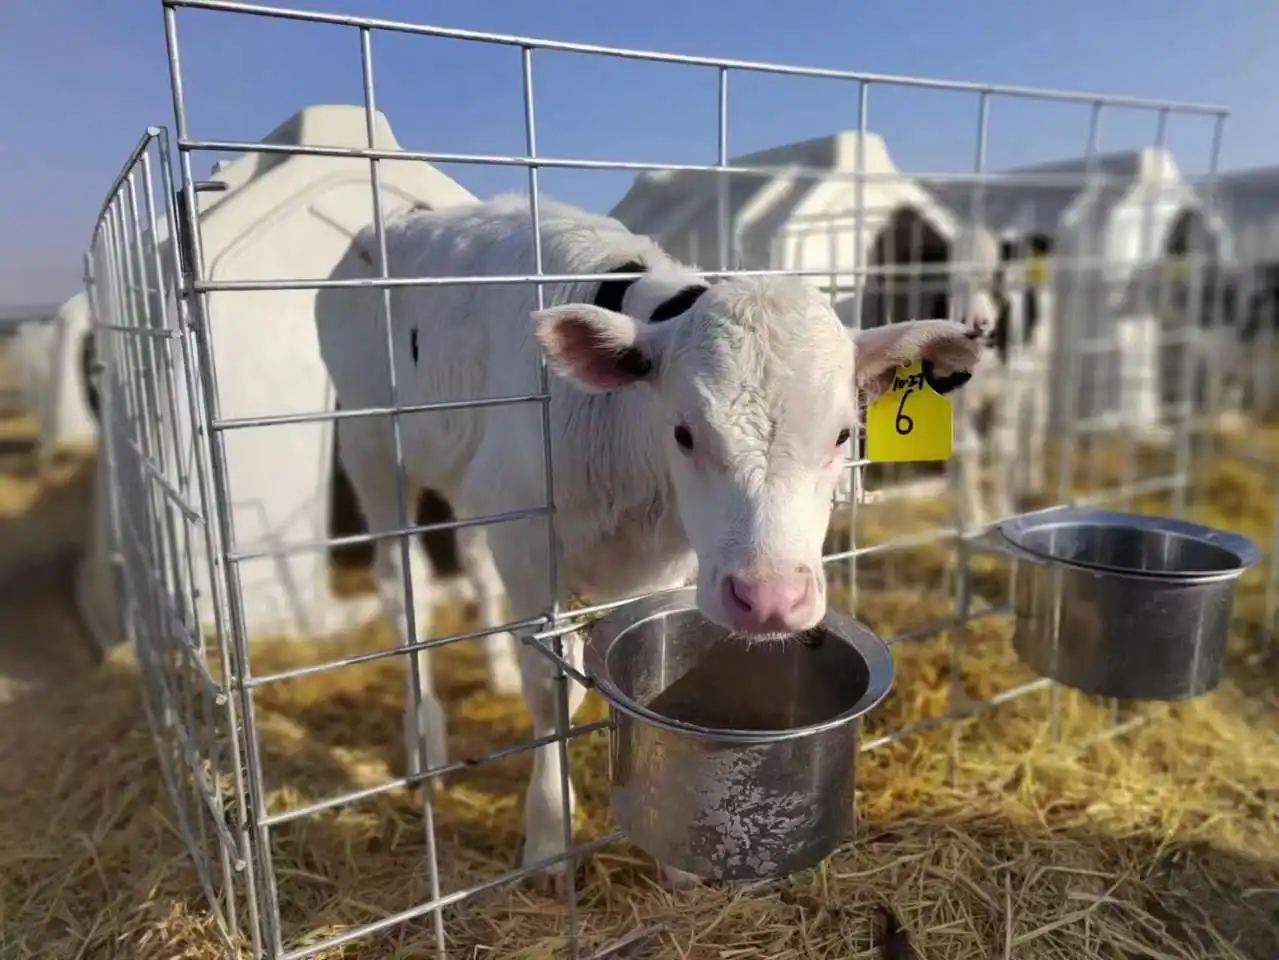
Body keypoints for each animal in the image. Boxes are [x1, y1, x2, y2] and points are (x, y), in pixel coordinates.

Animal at [312, 193, 987, 894]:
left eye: (844, 434)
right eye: (684, 433)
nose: (771, 598)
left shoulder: (660, 558)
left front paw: (680, 863)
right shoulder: (528, 539)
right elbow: (552, 688)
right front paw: (550, 838)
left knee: (469, 556)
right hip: (369, 444)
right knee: (402, 584)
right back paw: (425, 740)